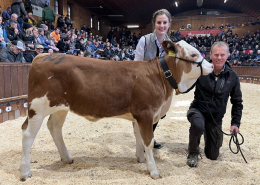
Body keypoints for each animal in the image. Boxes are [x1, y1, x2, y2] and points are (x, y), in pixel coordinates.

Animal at [19, 40, 212, 181]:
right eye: (194, 54)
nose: (211, 66)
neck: (159, 76)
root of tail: (43, 55)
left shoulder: (138, 116)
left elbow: (139, 138)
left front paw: (141, 159)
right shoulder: (146, 113)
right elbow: (148, 141)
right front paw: (153, 171)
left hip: (60, 108)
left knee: (55, 128)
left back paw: (67, 158)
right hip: (37, 107)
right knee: (27, 134)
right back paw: (25, 172)